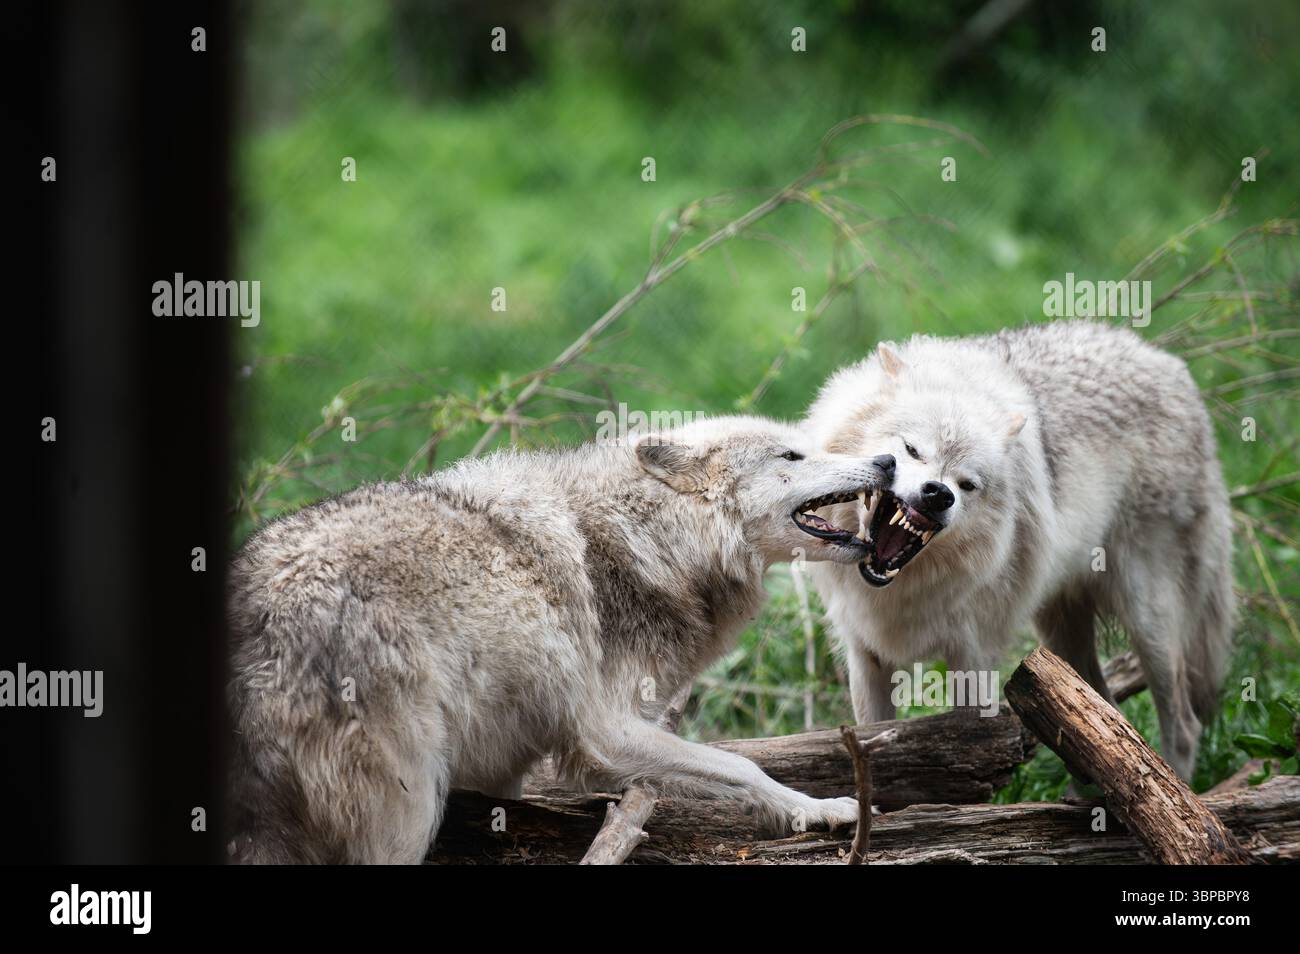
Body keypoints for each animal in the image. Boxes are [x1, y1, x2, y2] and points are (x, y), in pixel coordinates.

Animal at [226, 415, 895, 863]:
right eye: (793, 454)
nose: (888, 460)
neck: (652, 537)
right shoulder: (604, 731)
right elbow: (740, 765)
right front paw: (823, 810)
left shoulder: (507, 761)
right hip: (407, 804)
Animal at [803, 321, 1234, 780]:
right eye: (912, 450)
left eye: (967, 484)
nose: (938, 493)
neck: (901, 589)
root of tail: (1168, 364)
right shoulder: (865, 652)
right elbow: (869, 749)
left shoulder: (974, 656)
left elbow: (967, 747)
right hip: (1057, 635)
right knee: (1103, 715)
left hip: (1147, 619)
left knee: (1184, 724)